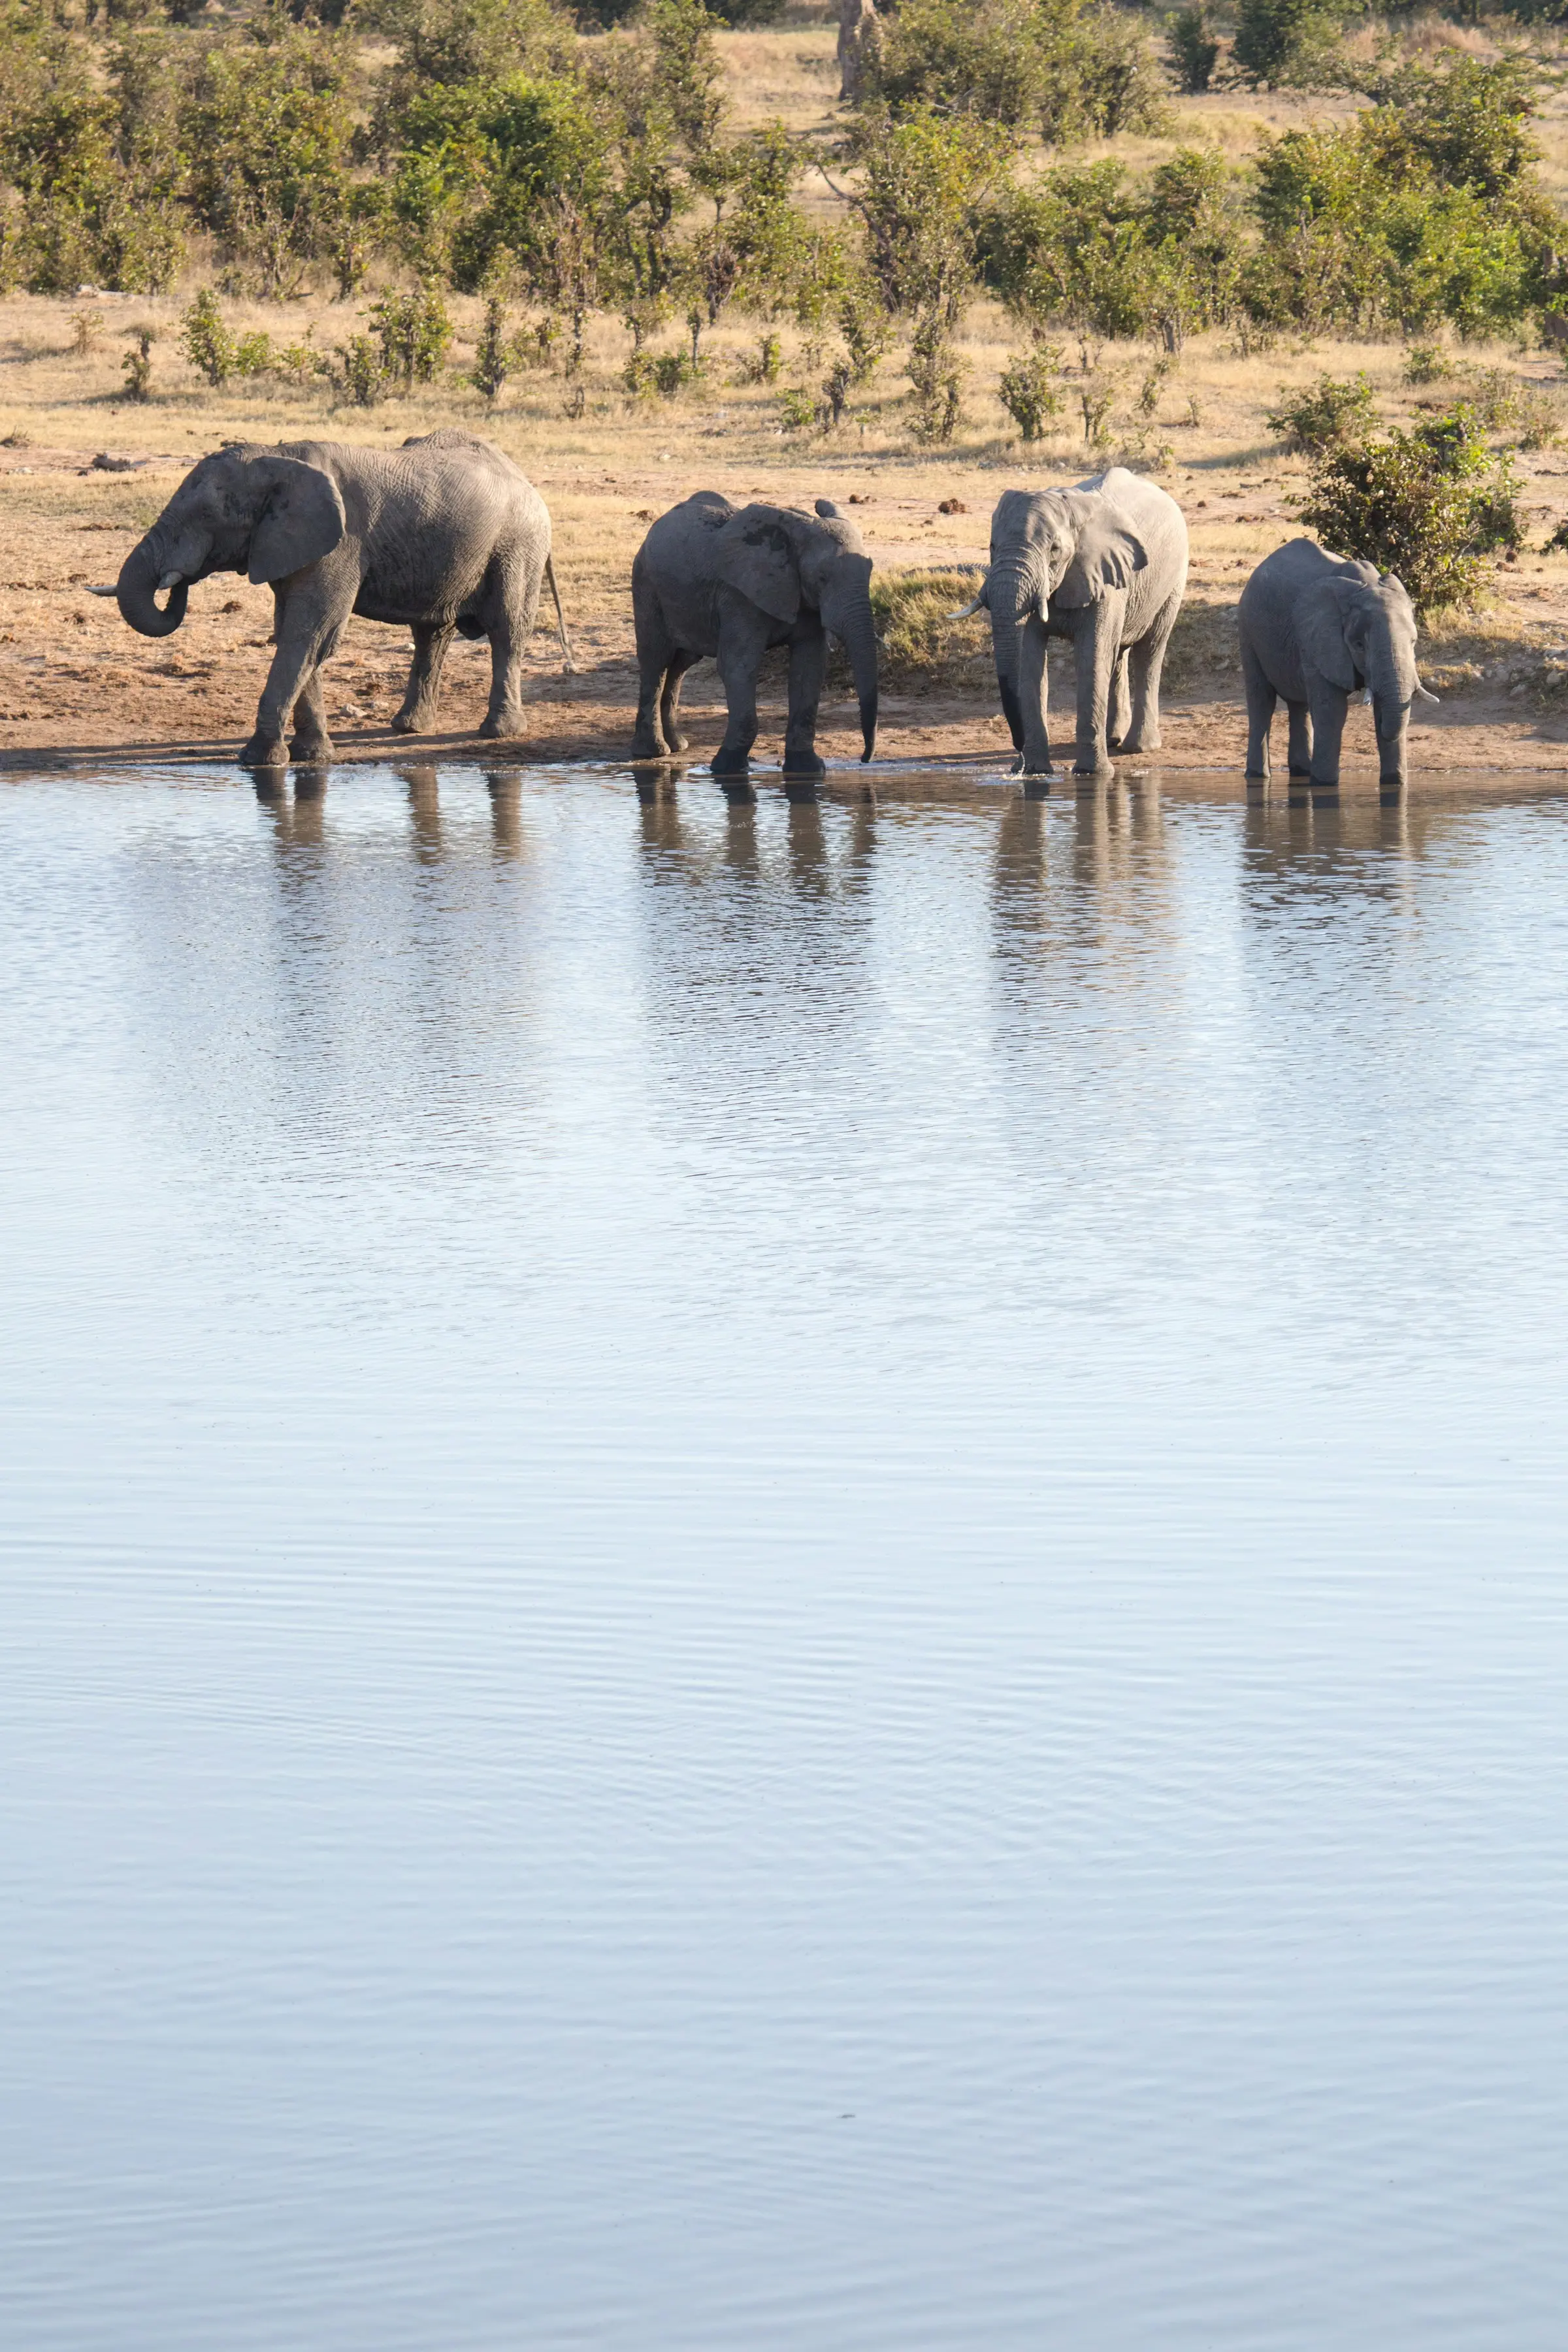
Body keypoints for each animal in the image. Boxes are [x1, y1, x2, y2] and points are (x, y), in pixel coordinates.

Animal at [93, 429, 571, 768]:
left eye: (208, 515)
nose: (178, 580)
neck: (277, 457)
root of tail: (527, 479)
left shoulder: (341, 545)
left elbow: (311, 633)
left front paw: (258, 760)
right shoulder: (290, 545)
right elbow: (296, 634)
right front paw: (312, 756)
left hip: (518, 545)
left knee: (506, 631)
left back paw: (498, 732)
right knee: (431, 634)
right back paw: (408, 728)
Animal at [630, 493, 878, 776]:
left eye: (870, 571)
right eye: (822, 578)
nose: (865, 758)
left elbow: (809, 667)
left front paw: (808, 769)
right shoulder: (739, 596)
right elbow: (738, 666)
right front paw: (727, 769)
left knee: (681, 664)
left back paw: (679, 745)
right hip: (646, 585)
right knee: (656, 660)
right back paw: (652, 752)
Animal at [953, 468, 1188, 778]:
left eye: (1054, 550)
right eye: (992, 546)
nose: (1018, 752)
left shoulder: (1105, 577)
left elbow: (1092, 657)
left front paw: (1092, 774)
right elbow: (1030, 660)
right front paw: (1035, 772)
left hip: (1173, 579)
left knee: (1149, 649)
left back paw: (1138, 747)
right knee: (1119, 654)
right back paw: (1112, 739)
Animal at [1238, 537, 1438, 793]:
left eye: (1413, 642)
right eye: (1359, 645)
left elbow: (1382, 707)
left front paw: (1395, 783)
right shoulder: (1319, 639)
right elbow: (1332, 711)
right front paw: (1325, 785)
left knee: (1299, 706)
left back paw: (1302, 772)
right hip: (1248, 629)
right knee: (1262, 700)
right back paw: (1258, 776)